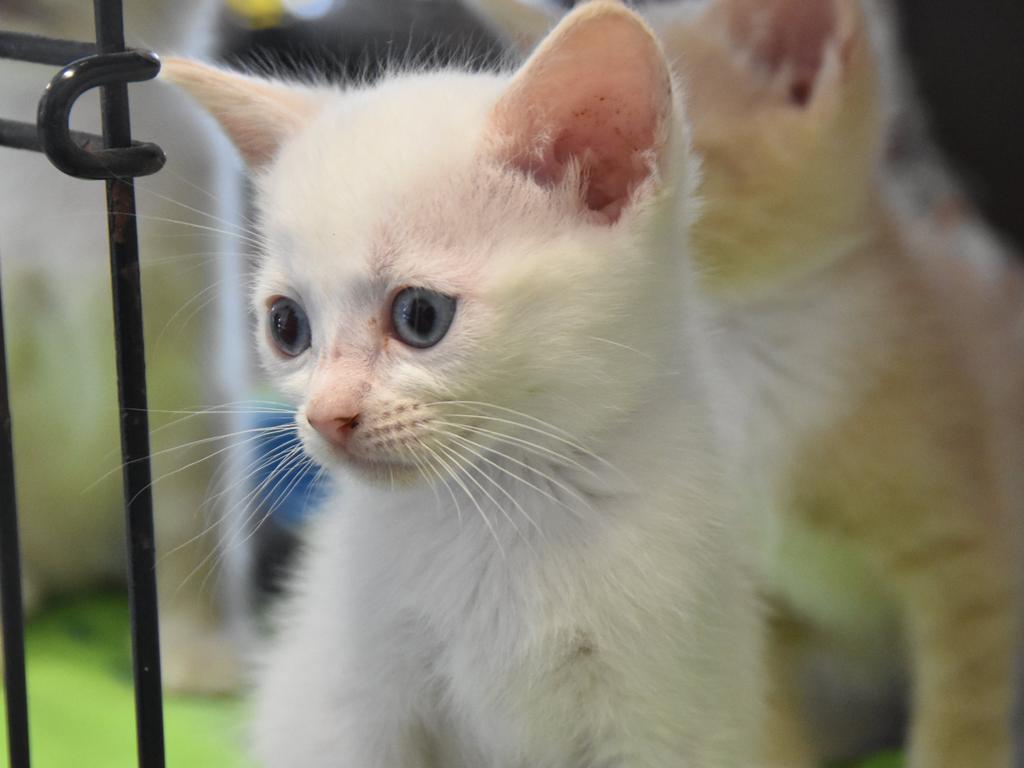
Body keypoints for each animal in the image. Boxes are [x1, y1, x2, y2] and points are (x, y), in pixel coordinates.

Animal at [161, 3, 770, 765]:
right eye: (286, 325)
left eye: (420, 315)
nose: (326, 415)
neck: (498, 511)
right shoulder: (353, 700)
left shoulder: (669, 708)